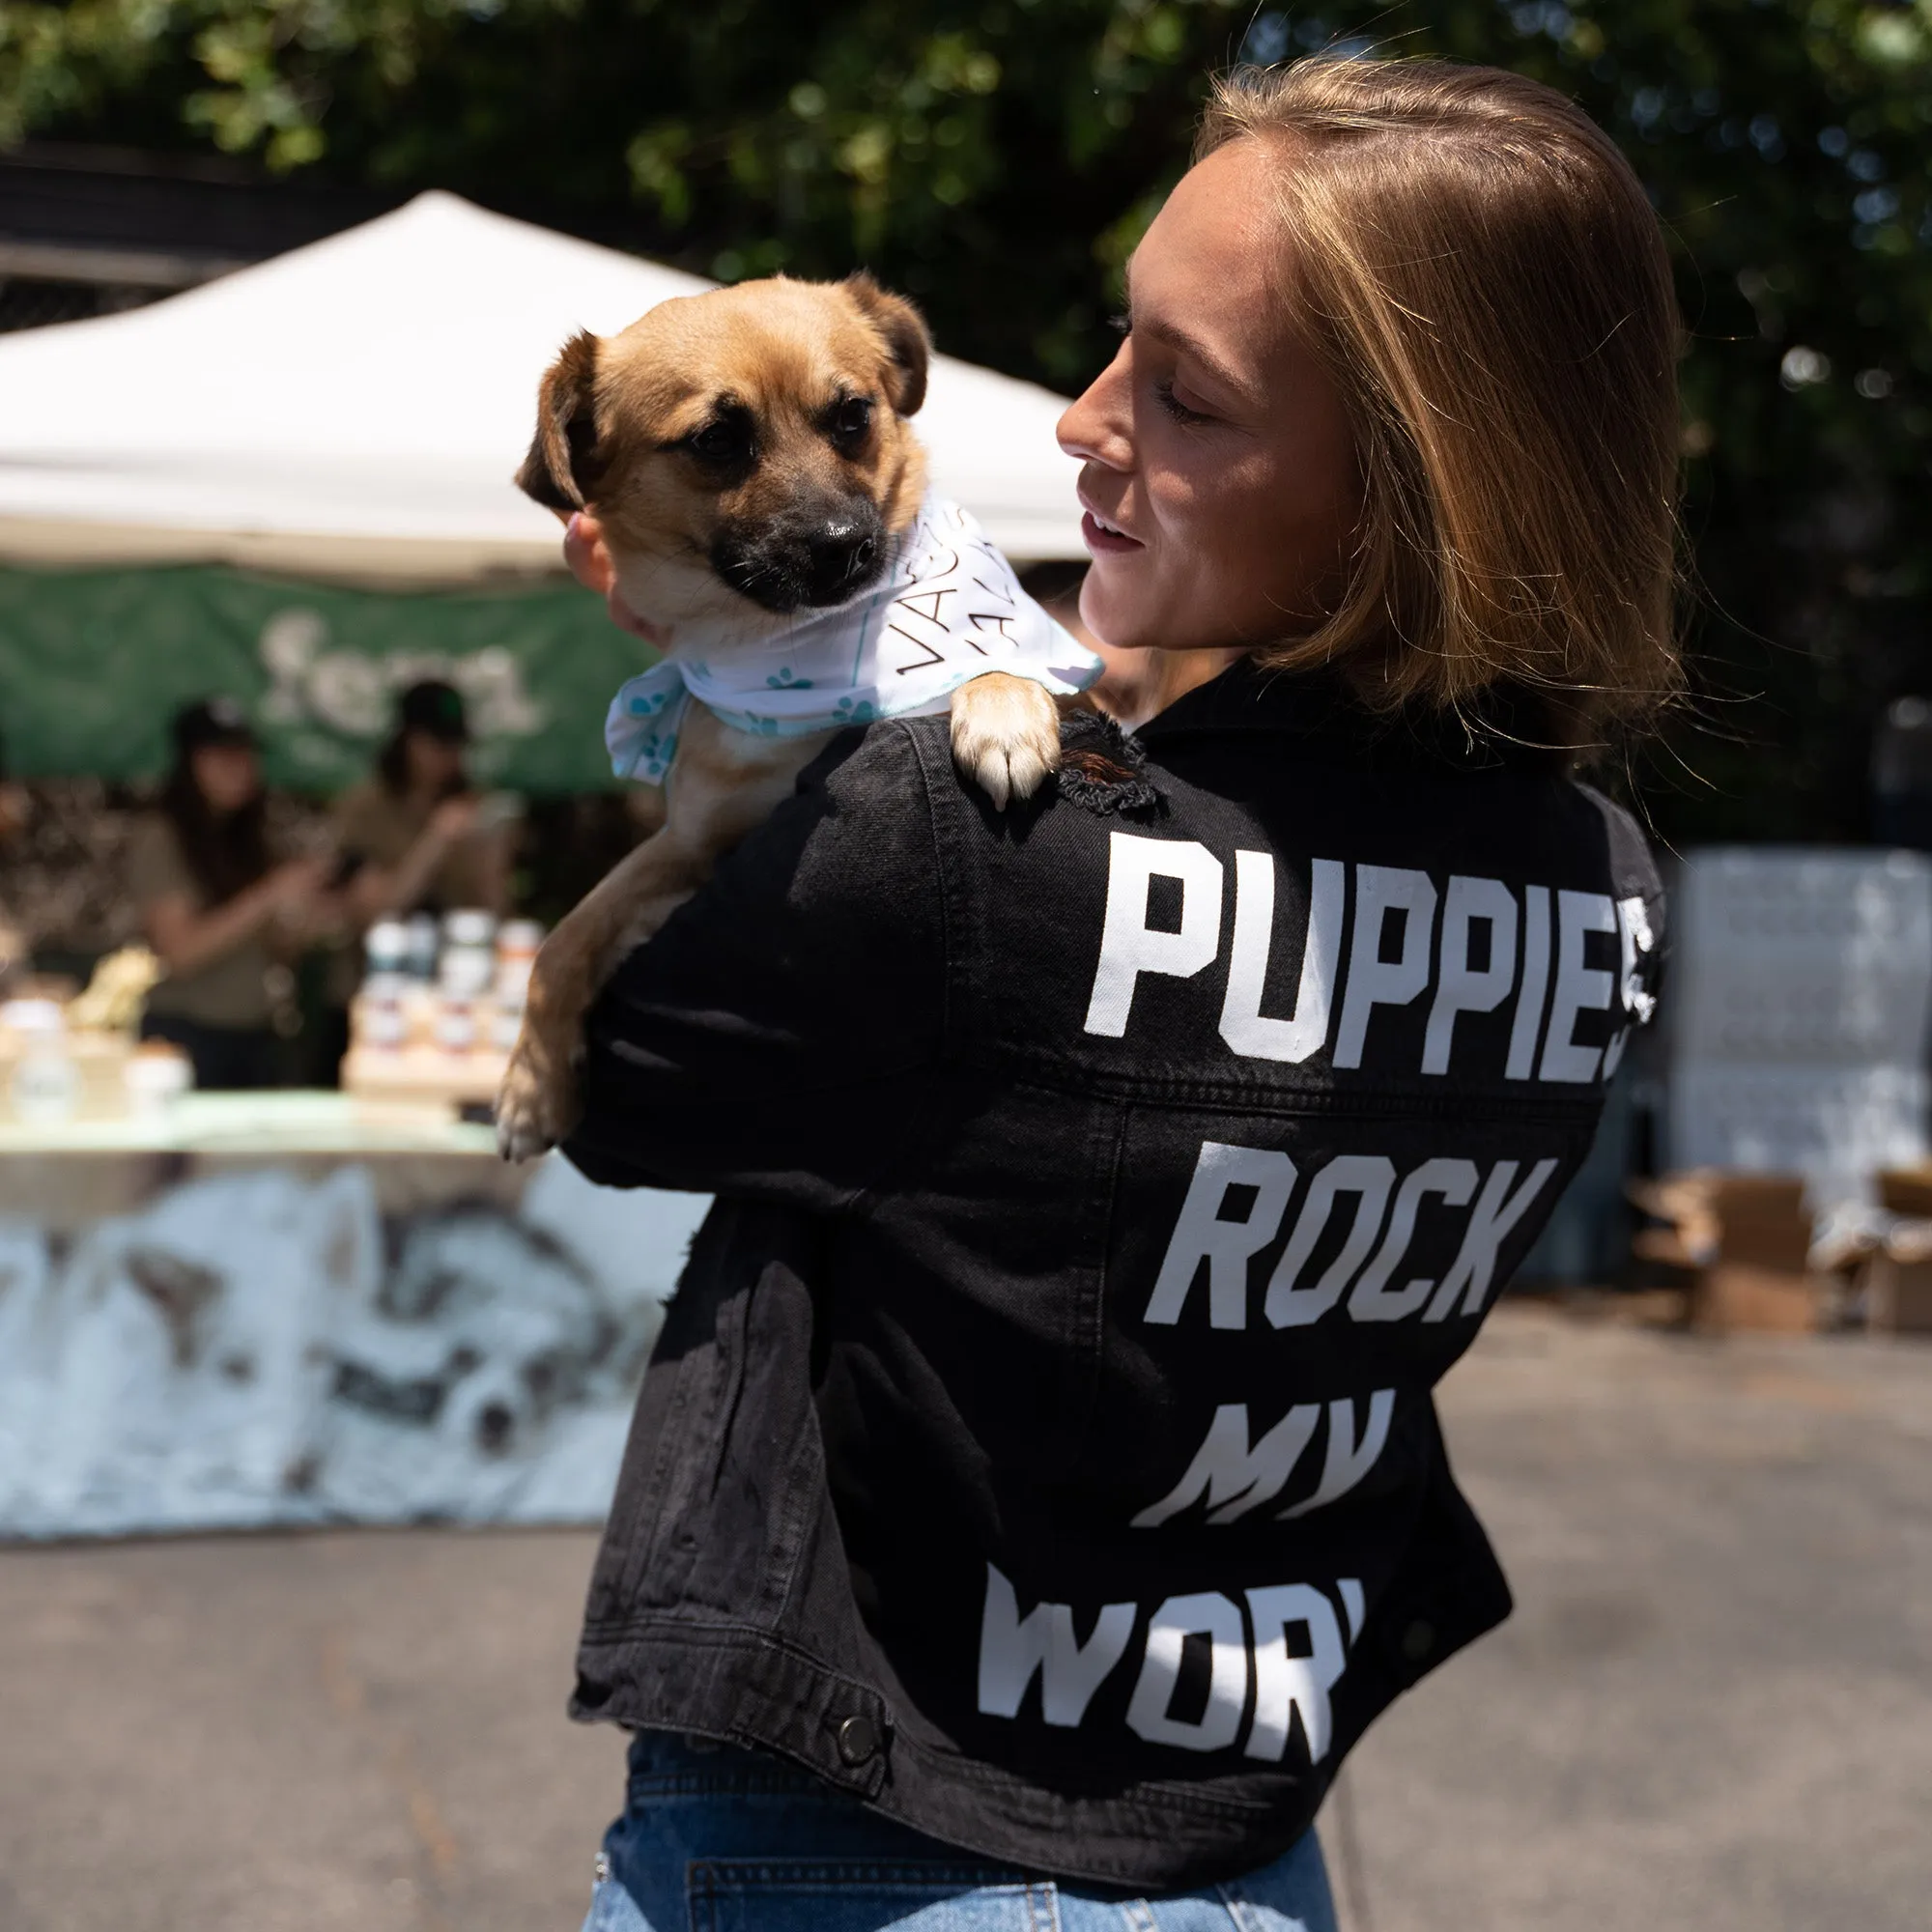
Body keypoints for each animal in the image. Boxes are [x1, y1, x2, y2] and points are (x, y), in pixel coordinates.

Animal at [498, 276, 1066, 1159]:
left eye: (853, 414)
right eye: (715, 439)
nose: (845, 545)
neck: (790, 649)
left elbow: (990, 653)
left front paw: (1002, 708)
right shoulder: (689, 846)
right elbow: (563, 941)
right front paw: (532, 1086)